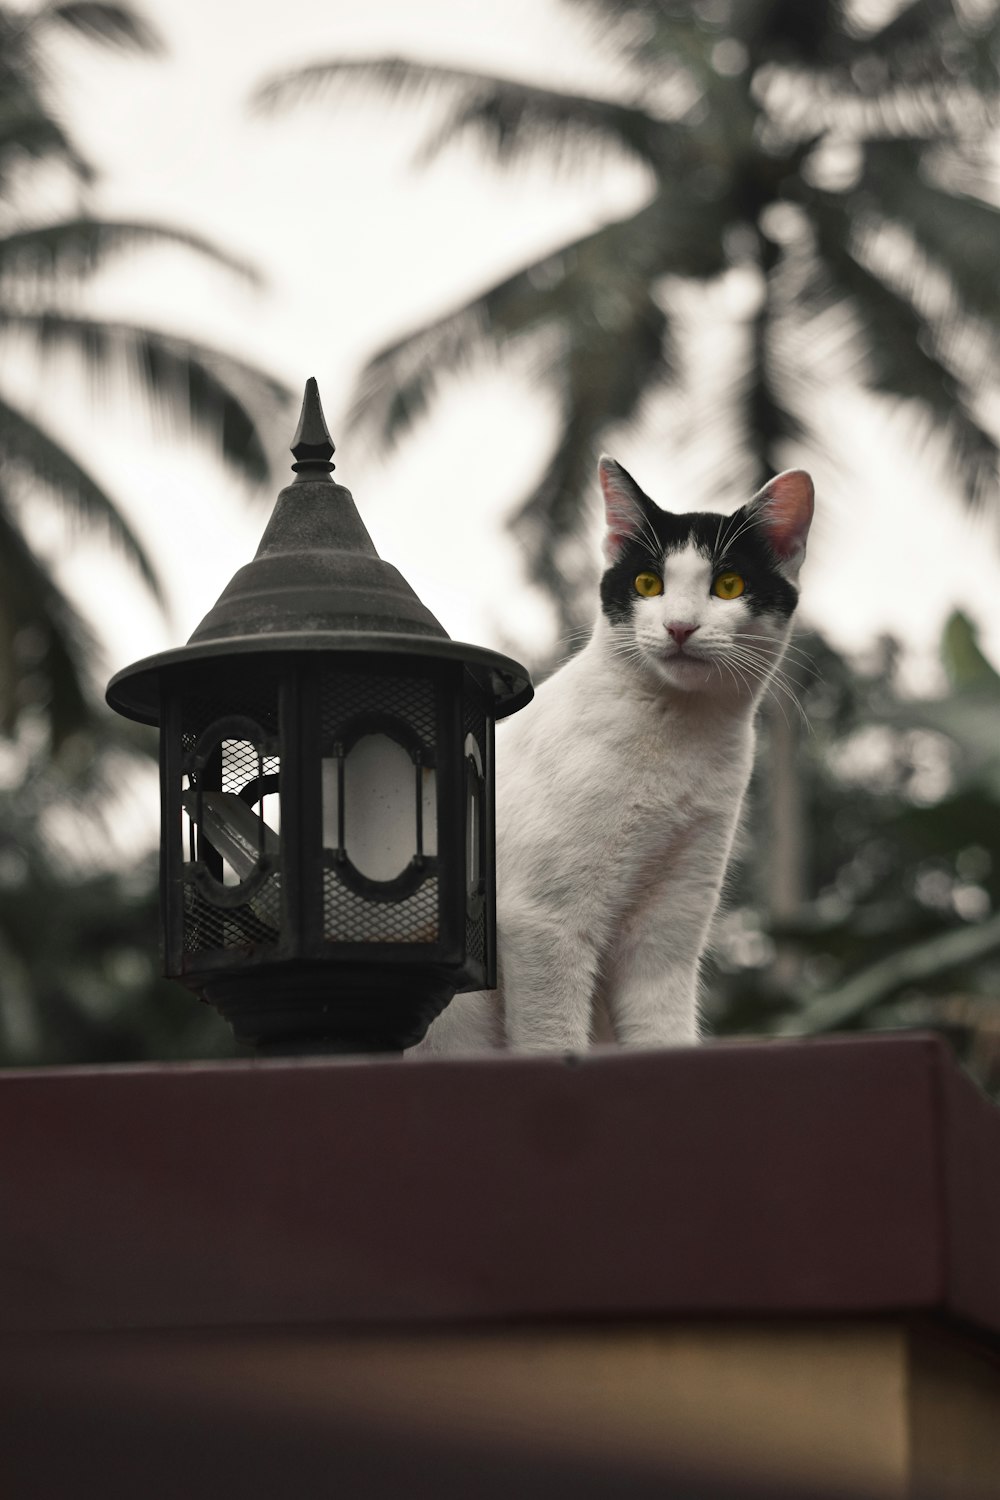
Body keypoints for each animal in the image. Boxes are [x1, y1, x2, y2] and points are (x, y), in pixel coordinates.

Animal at [413, 456, 815, 1056]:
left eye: (729, 585)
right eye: (649, 584)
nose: (679, 626)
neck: (678, 739)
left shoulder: (667, 935)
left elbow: (663, 1032)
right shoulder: (543, 922)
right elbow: (554, 1041)